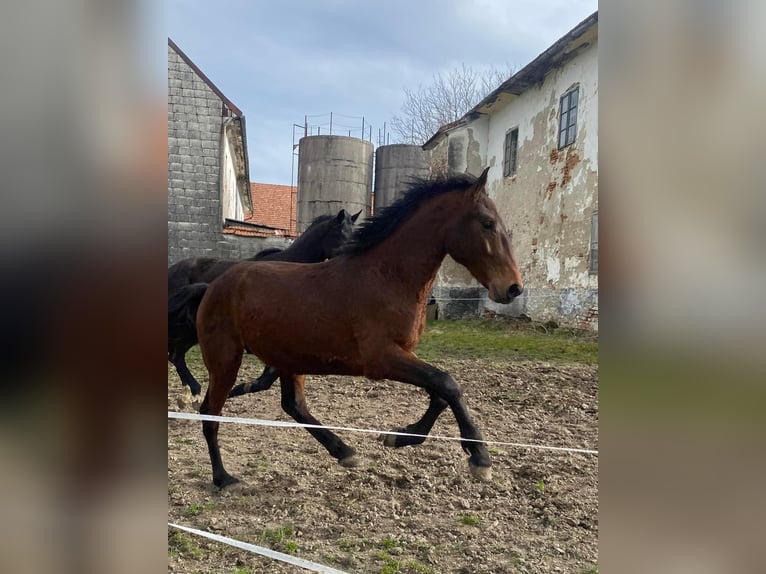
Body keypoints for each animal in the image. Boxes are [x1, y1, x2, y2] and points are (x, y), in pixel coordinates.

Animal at [195, 169, 524, 488]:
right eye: (487, 223)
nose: (513, 288)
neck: (387, 277)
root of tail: (217, 283)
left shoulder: (404, 354)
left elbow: (440, 393)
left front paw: (399, 436)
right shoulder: (381, 359)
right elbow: (447, 383)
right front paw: (480, 458)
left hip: (288, 359)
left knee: (293, 406)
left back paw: (344, 451)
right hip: (226, 360)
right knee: (210, 412)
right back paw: (223, 478)